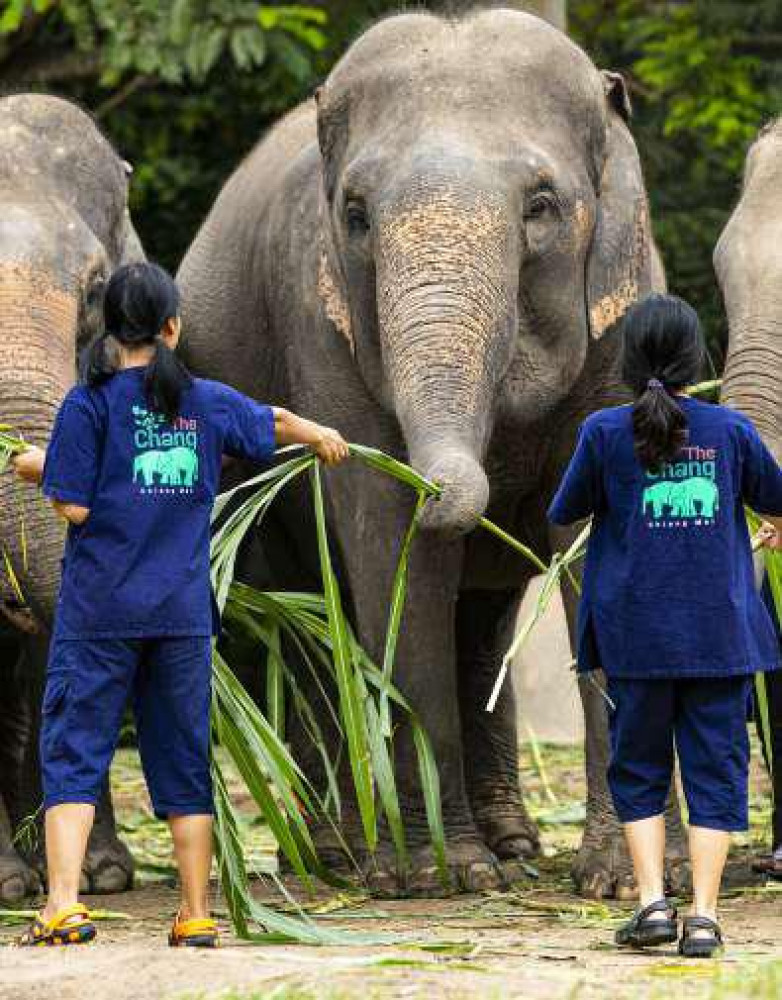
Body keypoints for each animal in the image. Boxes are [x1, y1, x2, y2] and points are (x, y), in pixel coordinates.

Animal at [179, 9, 672, 900]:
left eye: (541, 206)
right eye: (355, 214)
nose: (456, 484)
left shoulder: (624, 320)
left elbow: (600, 539)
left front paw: (621, 883)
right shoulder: (320, 320)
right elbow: (389, 545)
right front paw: (443, 873)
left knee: (481, 619)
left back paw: (512, 843)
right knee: (307, 620)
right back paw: (350, 858)